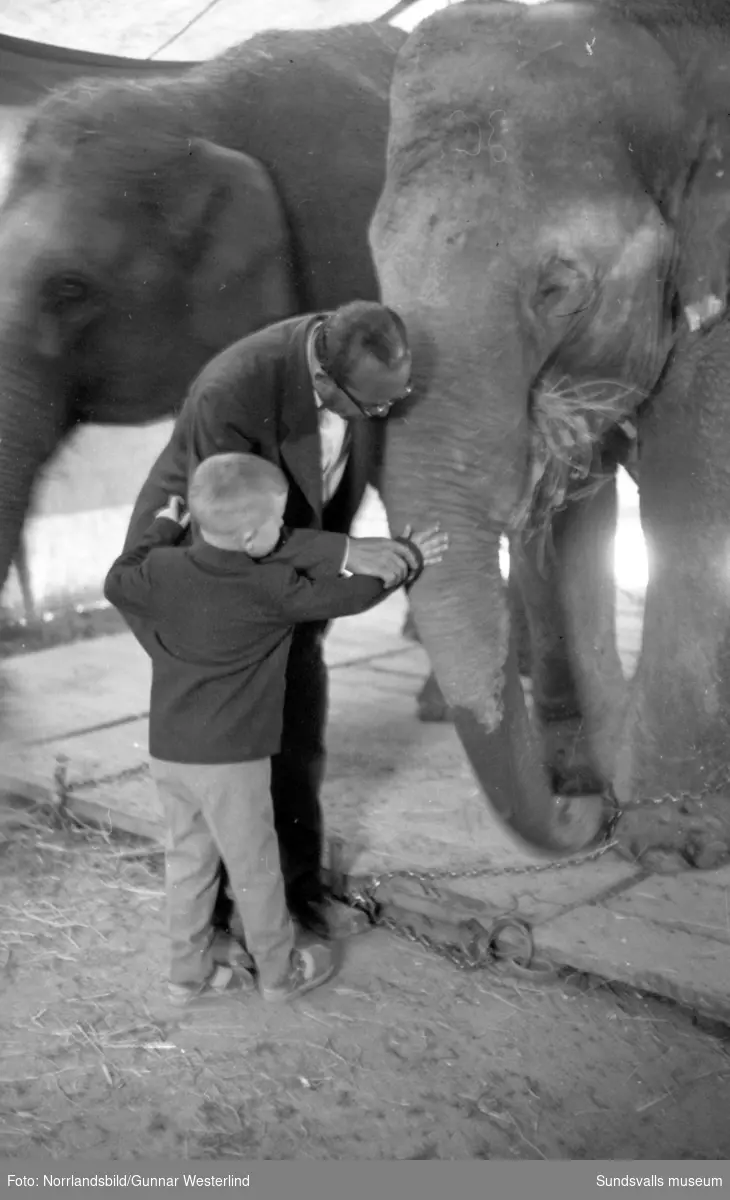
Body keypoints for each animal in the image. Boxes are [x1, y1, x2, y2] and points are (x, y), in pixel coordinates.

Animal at [374, 0, 730, 864]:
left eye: (558, 289)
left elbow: (691, 494)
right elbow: (572, 526)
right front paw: (585, 769)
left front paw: (668, 838)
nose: (581, 815)